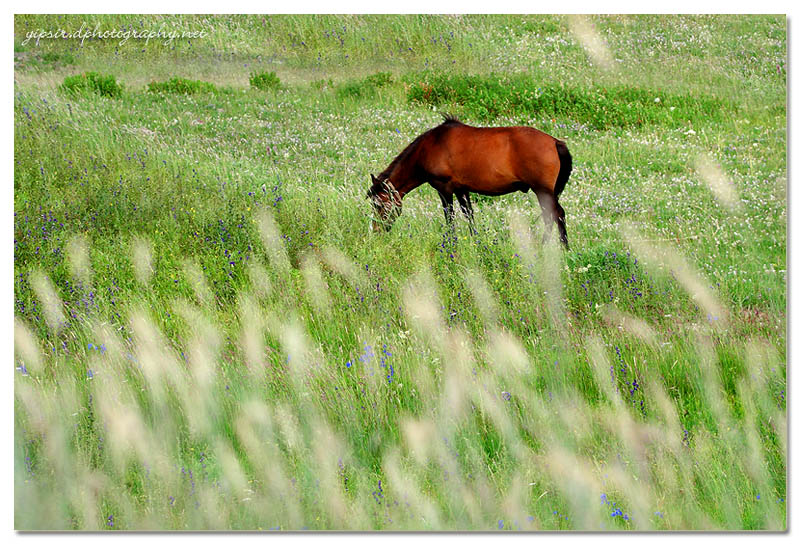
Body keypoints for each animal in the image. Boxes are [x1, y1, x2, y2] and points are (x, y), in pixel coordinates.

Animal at [368, 118, 568, 250]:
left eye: (378, 205)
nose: (376, 231)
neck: (429, 147)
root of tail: (555, 142)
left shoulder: (444, 189)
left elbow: (450, 218)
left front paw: (452, 245)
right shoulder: (461, 189)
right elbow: (469, 215)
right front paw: (475, 242)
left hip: (542, 190)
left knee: (555, 215)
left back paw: (554, 247)